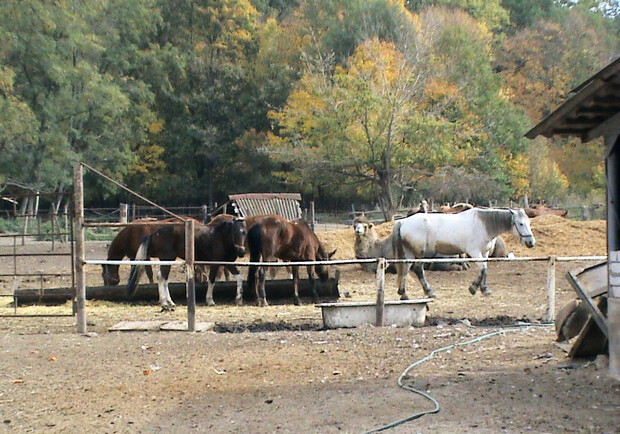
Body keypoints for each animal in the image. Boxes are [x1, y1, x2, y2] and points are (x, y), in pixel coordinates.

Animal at [394, 208, 536, 298]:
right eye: (521, 223)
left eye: (529, 223)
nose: (531, 242)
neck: (484, 225)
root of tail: (403, 221)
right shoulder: (474, 252)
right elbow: (483, 269)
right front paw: (473, 288)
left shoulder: (484, 253)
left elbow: (485, 270)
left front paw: (485, 289)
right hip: (419, 253)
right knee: (418, 270)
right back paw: (429, 292)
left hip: (410, 252)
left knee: (405, 269)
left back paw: (404, 294)